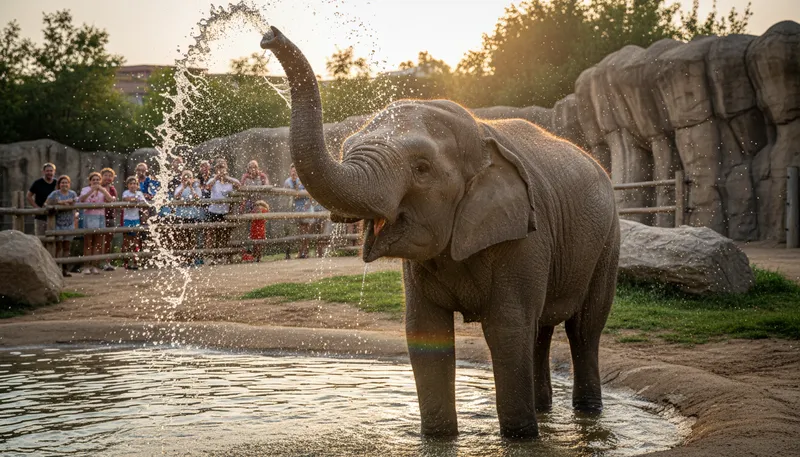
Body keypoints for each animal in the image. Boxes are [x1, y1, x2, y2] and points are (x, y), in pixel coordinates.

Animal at [261, 27, 620, 439]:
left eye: (421, 168)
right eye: (347, 146)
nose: (268, 34)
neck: (481, 134)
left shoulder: (528, 234)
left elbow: (507, 328)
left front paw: (520, 438)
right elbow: (425, 332)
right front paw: (438, 438)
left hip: (609, 238)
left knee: (584, 327)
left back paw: (587, 413)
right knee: (541, 330)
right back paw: (545, 410)